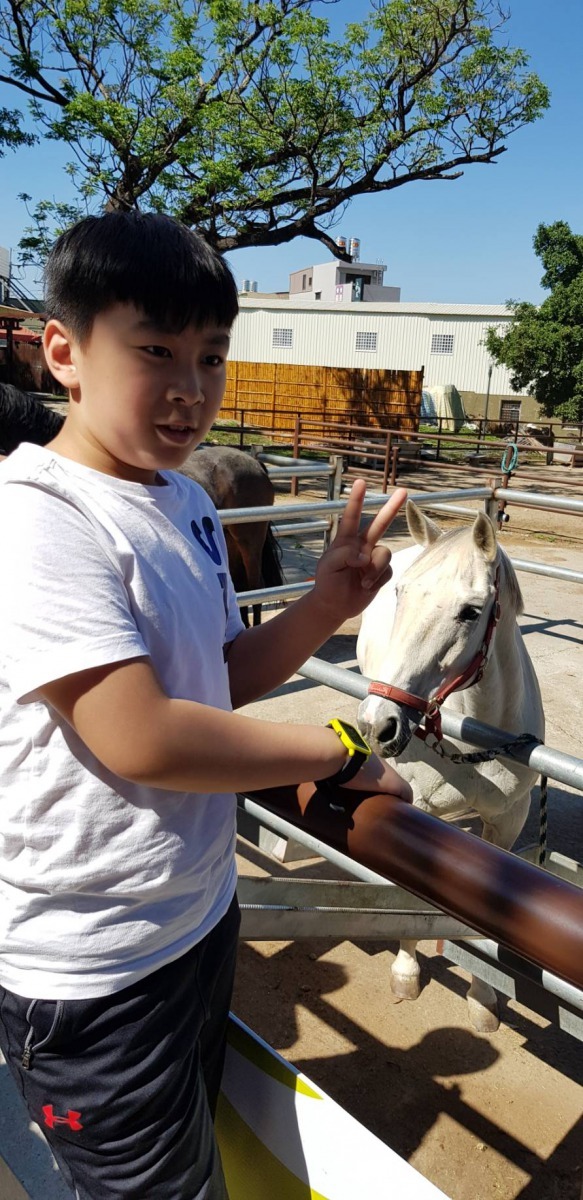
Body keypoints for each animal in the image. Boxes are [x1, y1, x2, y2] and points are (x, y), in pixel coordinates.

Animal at [357, 500, 545, 1032]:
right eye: (400, 594)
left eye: (470, 612)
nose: (378, 724)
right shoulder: (420, 814)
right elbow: (412, 899)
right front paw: (405, 972)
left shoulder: (507, 823)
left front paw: (483, 997)